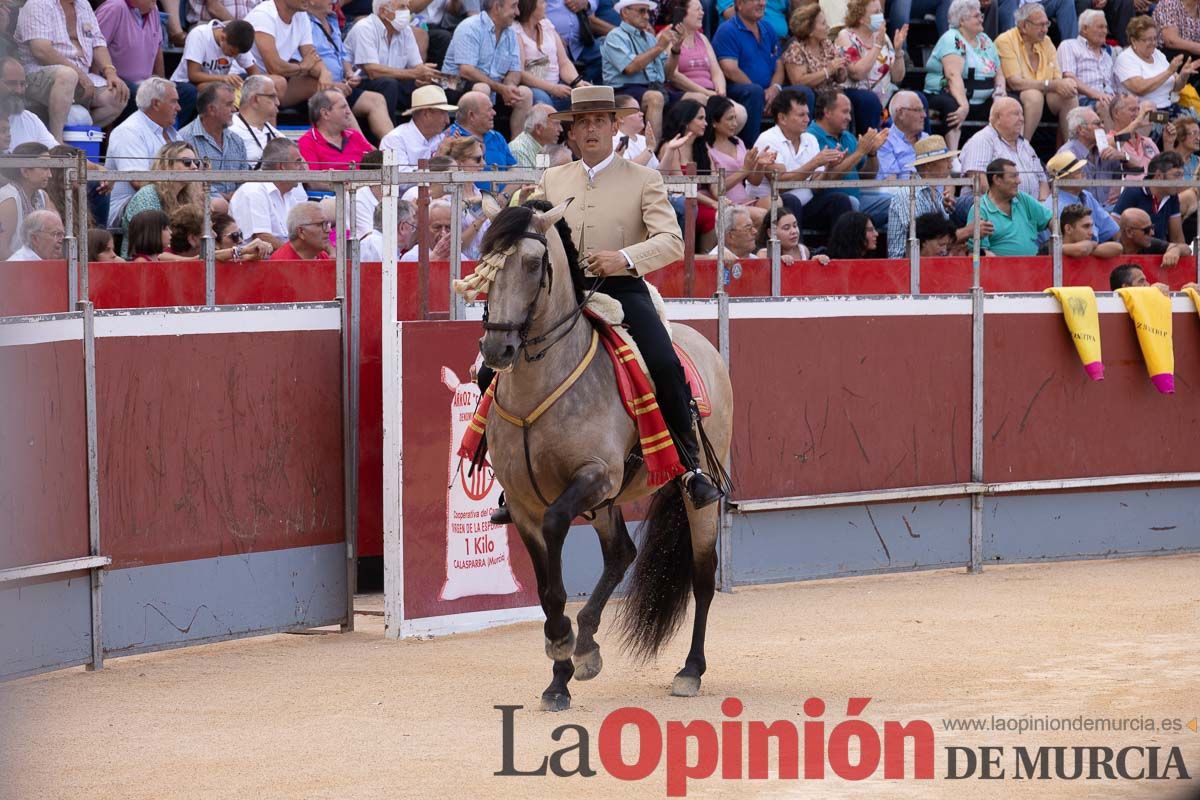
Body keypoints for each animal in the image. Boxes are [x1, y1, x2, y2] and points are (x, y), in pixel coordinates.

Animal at [465, 201, 729, 714]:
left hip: (692, 490)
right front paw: (560, 672)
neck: (539, 384)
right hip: (609, 504)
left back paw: (690, 670)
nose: (496, 348)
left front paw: (562, 645)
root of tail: (699, 341)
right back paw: (587, 645)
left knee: (703, 575)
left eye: (533, 264)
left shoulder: (594, 477)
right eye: (485, 264)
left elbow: (557, 535)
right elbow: (547, 592)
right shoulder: (523, 504)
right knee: (621, 553)